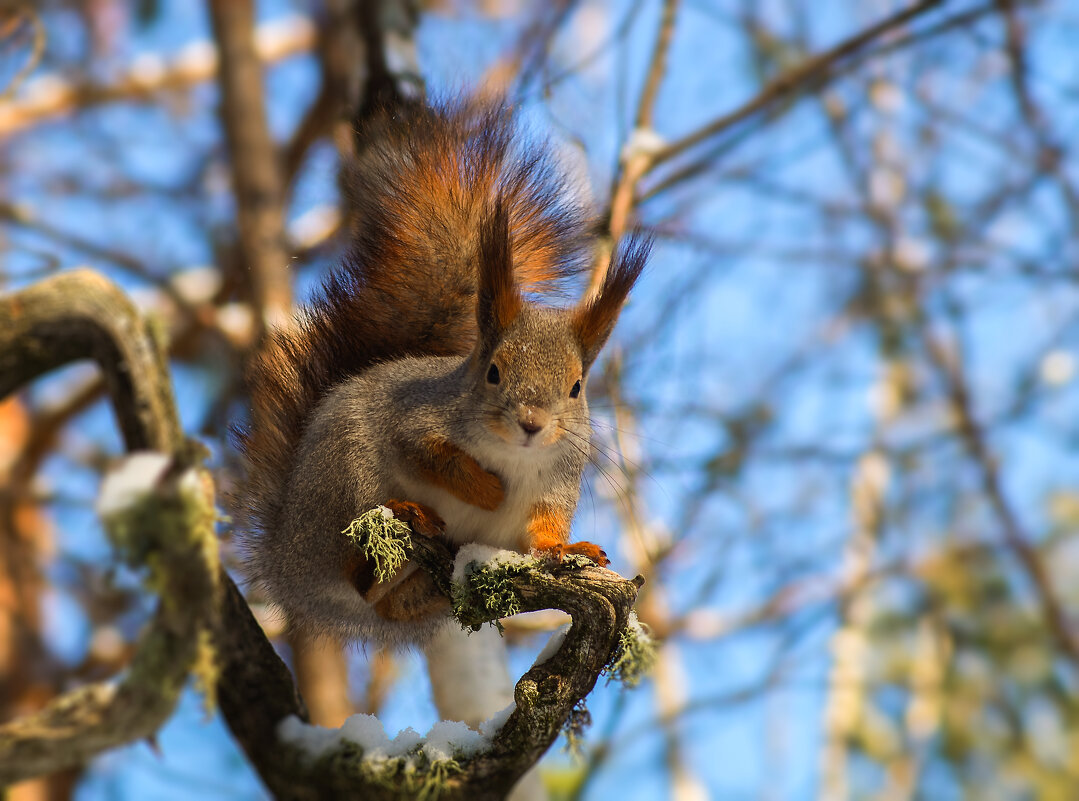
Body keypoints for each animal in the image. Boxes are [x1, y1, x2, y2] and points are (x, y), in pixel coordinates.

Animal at [235, 100, 647, 643]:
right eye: (493, 372)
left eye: (577, 388)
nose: (532, 423)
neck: (512, 454)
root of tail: (287, 564)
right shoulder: (414, 422)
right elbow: (430, 456)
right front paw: (489, 490)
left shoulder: (557, 482)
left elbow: (544, 530)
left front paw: (567, 549)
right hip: (346, 482)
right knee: (357, 566)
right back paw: (408, 516)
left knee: (386, 604)